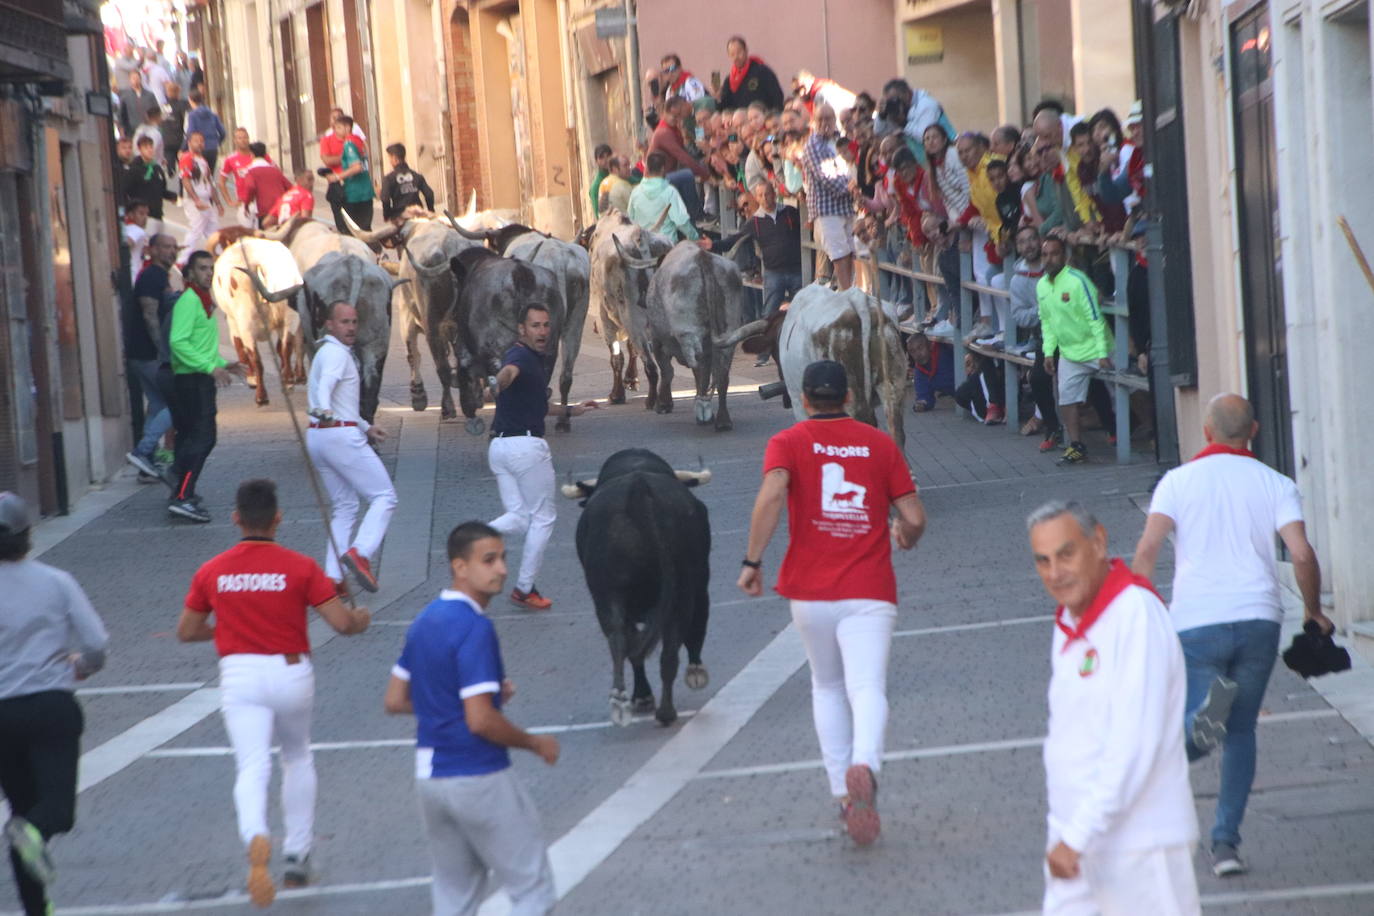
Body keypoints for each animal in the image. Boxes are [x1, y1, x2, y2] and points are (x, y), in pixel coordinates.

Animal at [568, 450, 708, 725]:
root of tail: (638, 489)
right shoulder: (701, 582)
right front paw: (696, 670)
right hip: (684, 592)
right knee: (667, 649)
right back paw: (663, 709)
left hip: (607, 595)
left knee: (620, 639)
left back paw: (622, 699)